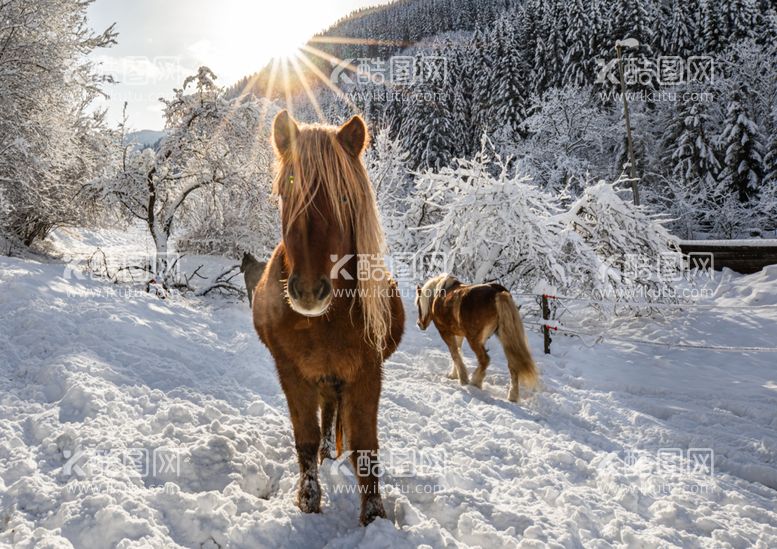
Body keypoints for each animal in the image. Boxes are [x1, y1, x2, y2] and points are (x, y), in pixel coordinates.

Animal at [253, 110, 406, 524]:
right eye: (286, 190)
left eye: (343, 196)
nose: (308, 291)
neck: (323, 322)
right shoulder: (292, 372)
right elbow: (305, 438)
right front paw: (308, 500)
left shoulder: (367, 373)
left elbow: (366, 446)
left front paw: (374, 516)